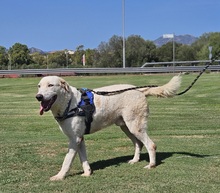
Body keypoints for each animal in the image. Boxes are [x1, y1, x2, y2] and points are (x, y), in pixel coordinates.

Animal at [35, 75, 180, 181]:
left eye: (50, 85)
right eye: (39, 86)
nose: (38, 96)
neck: (70, 104)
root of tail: (138, 90)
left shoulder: (74, 139)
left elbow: (67, 161)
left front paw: (59, 176)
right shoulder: (79, 138)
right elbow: (83, 159)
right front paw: (87, 173)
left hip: (135, 127)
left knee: (151, 145)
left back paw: (151, 165)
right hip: (126, 127)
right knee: (138, 143)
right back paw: (135, 160)